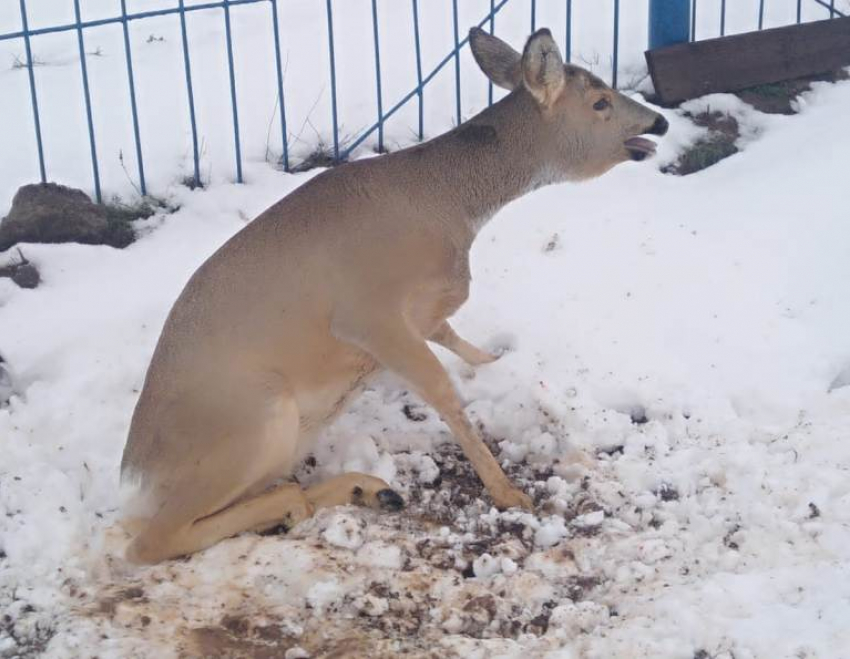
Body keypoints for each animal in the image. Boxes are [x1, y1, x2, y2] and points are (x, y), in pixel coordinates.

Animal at [119, 25, 664, 564]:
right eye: (599, 101)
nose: (659, 123)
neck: (447, 206)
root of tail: (135, 473)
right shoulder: (367, 311)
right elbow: (442, 390)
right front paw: (508, 492)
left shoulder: (421, 311)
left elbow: (453, 336)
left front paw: (496, 363)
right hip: (252, 423)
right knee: (148, 540)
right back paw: (306, 498)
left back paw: (367, 488)